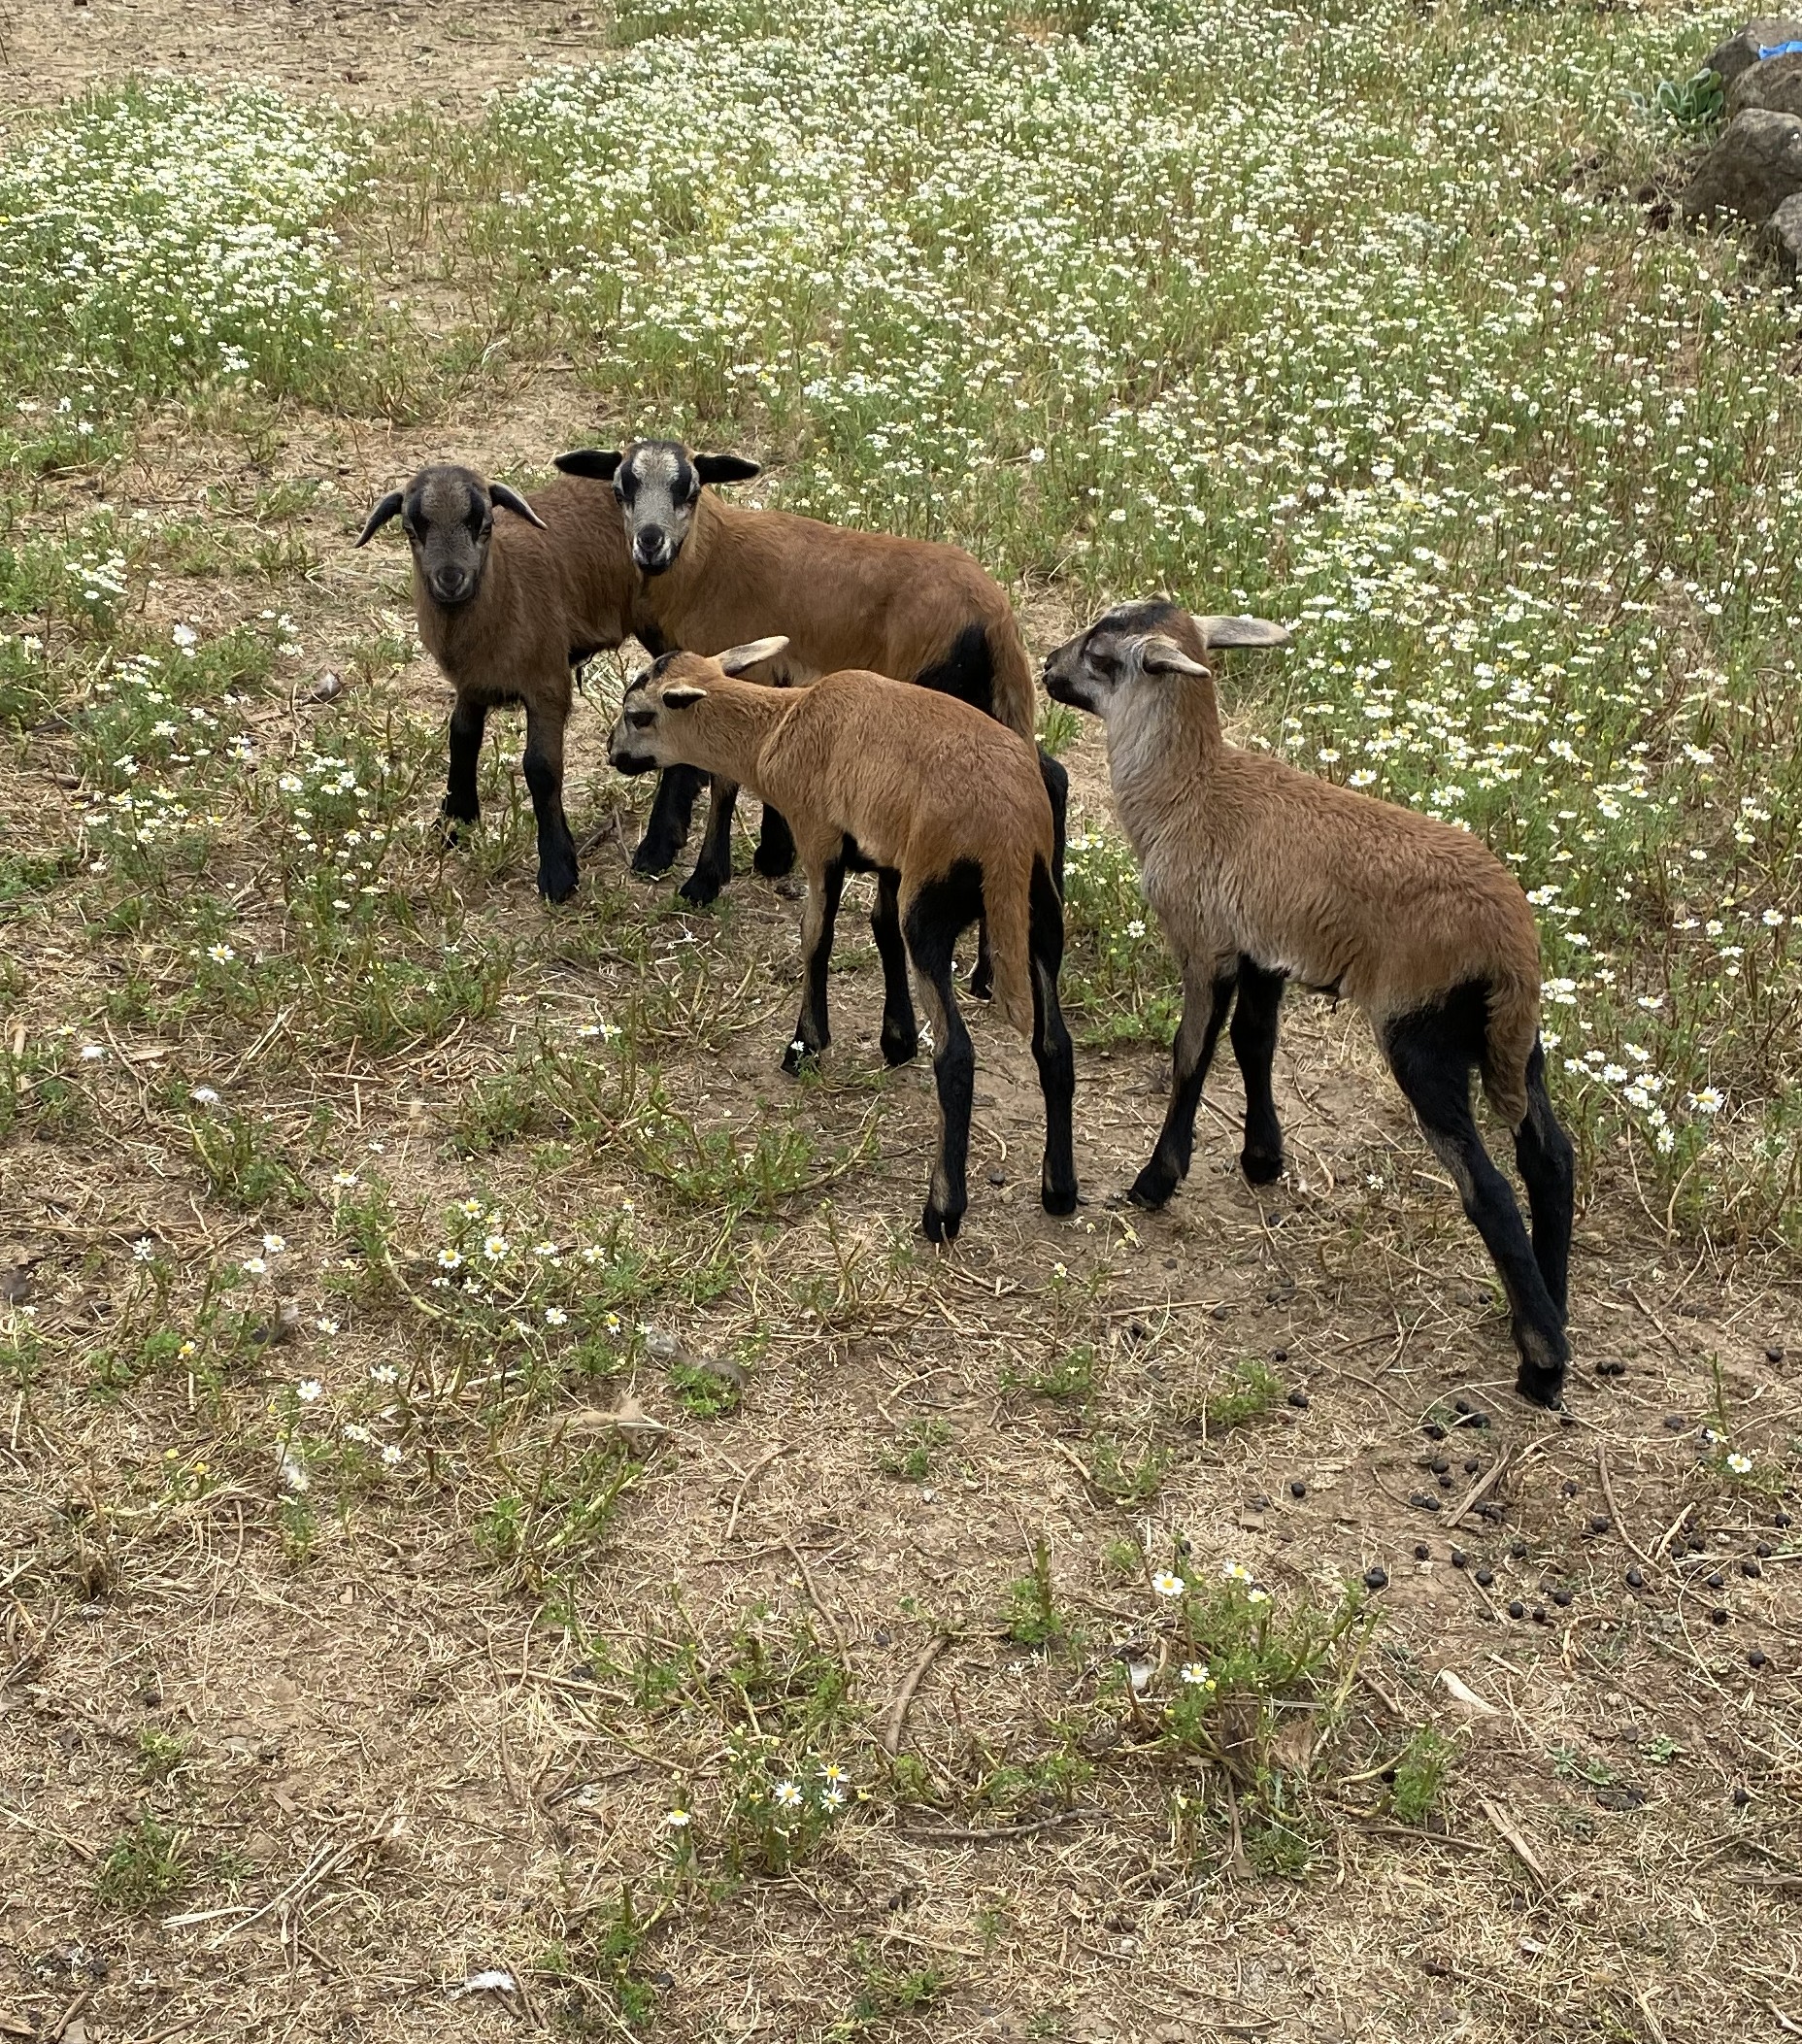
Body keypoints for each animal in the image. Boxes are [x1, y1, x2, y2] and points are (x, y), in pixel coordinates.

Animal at [356, 462, 643, 903]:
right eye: (410, 529)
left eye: (485, 525)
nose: (451, 579)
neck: (507, 589)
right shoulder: (471, 685)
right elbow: (461, 737)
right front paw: (456, 820)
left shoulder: (548, 685)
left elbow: (541, 768)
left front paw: (558, 868)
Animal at [553, 440, 1058, 986]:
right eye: (620, 489)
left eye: (688, 489)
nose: (650, 542)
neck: (704, 563)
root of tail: (997, 616)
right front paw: (769, 854)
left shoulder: (736, 674)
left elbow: (716, 774)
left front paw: (697, 873)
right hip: (986, 698)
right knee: (1049, 776)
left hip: (944, 693)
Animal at [606, 637, 1077, 1242]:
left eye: (639, 714)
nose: (613, 754)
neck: (776, 729)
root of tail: (1008, 837)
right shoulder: (887, 859)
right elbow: (880, 931)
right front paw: (896, 1039)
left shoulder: (820, 841)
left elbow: (816, 937)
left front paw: (805, 1045)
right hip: (1041, 913)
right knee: (1055, 1044)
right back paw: (1059, 1191)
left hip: (932, 908)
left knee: (956, 1054)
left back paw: (942, 1212)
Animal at [1042, 599, 1576, 1409]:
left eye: (1103, 656)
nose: (1046, 666)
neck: (1190, 788)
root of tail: (1508, 943)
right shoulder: (1266, 949)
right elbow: (1254, 1041)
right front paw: (1263, 1158)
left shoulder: (1205, 944)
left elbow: (1191, 1055)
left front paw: (1155, 1180)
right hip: (1515, 1036)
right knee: (1550, 1154)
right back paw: (1554, 1305)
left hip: (1419, 1032)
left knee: (1488, 1188)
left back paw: (1541, 1364)